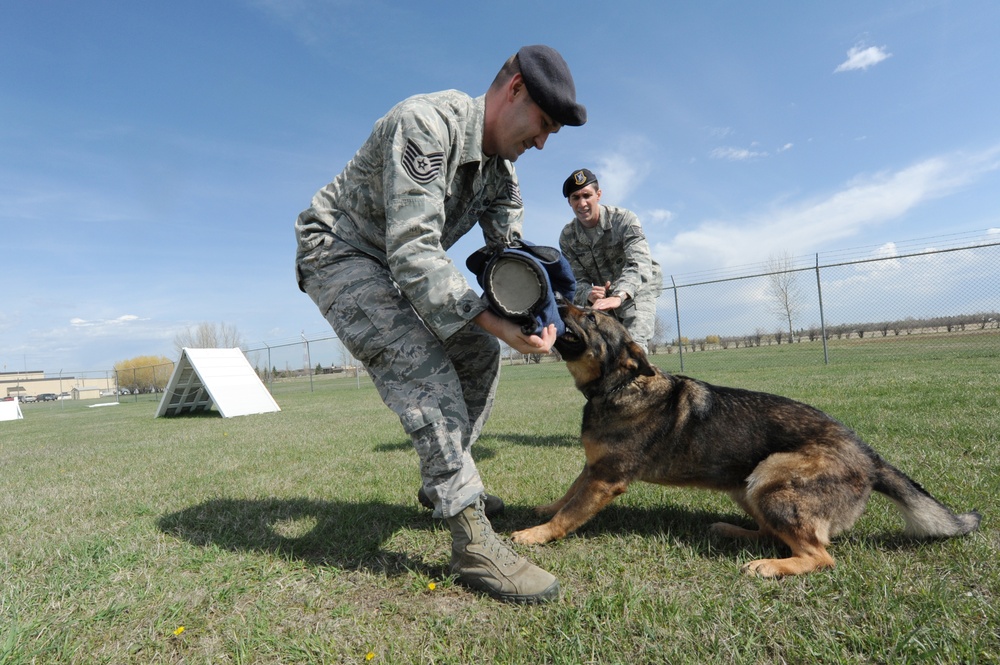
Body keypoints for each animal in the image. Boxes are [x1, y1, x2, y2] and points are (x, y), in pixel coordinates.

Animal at [512, 304, 980, 572]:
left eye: (590, 317)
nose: (561, 299)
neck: (618, 386)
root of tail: (868, 454)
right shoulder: (593, 468)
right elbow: (568, 494)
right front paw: (545, 509)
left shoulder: (606, 479)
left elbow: (570, 514)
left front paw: (536, 534)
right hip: (747, 486)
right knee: (779, 535)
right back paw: (733, 532)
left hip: (770, 479)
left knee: (819, 556)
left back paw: (767, 567)